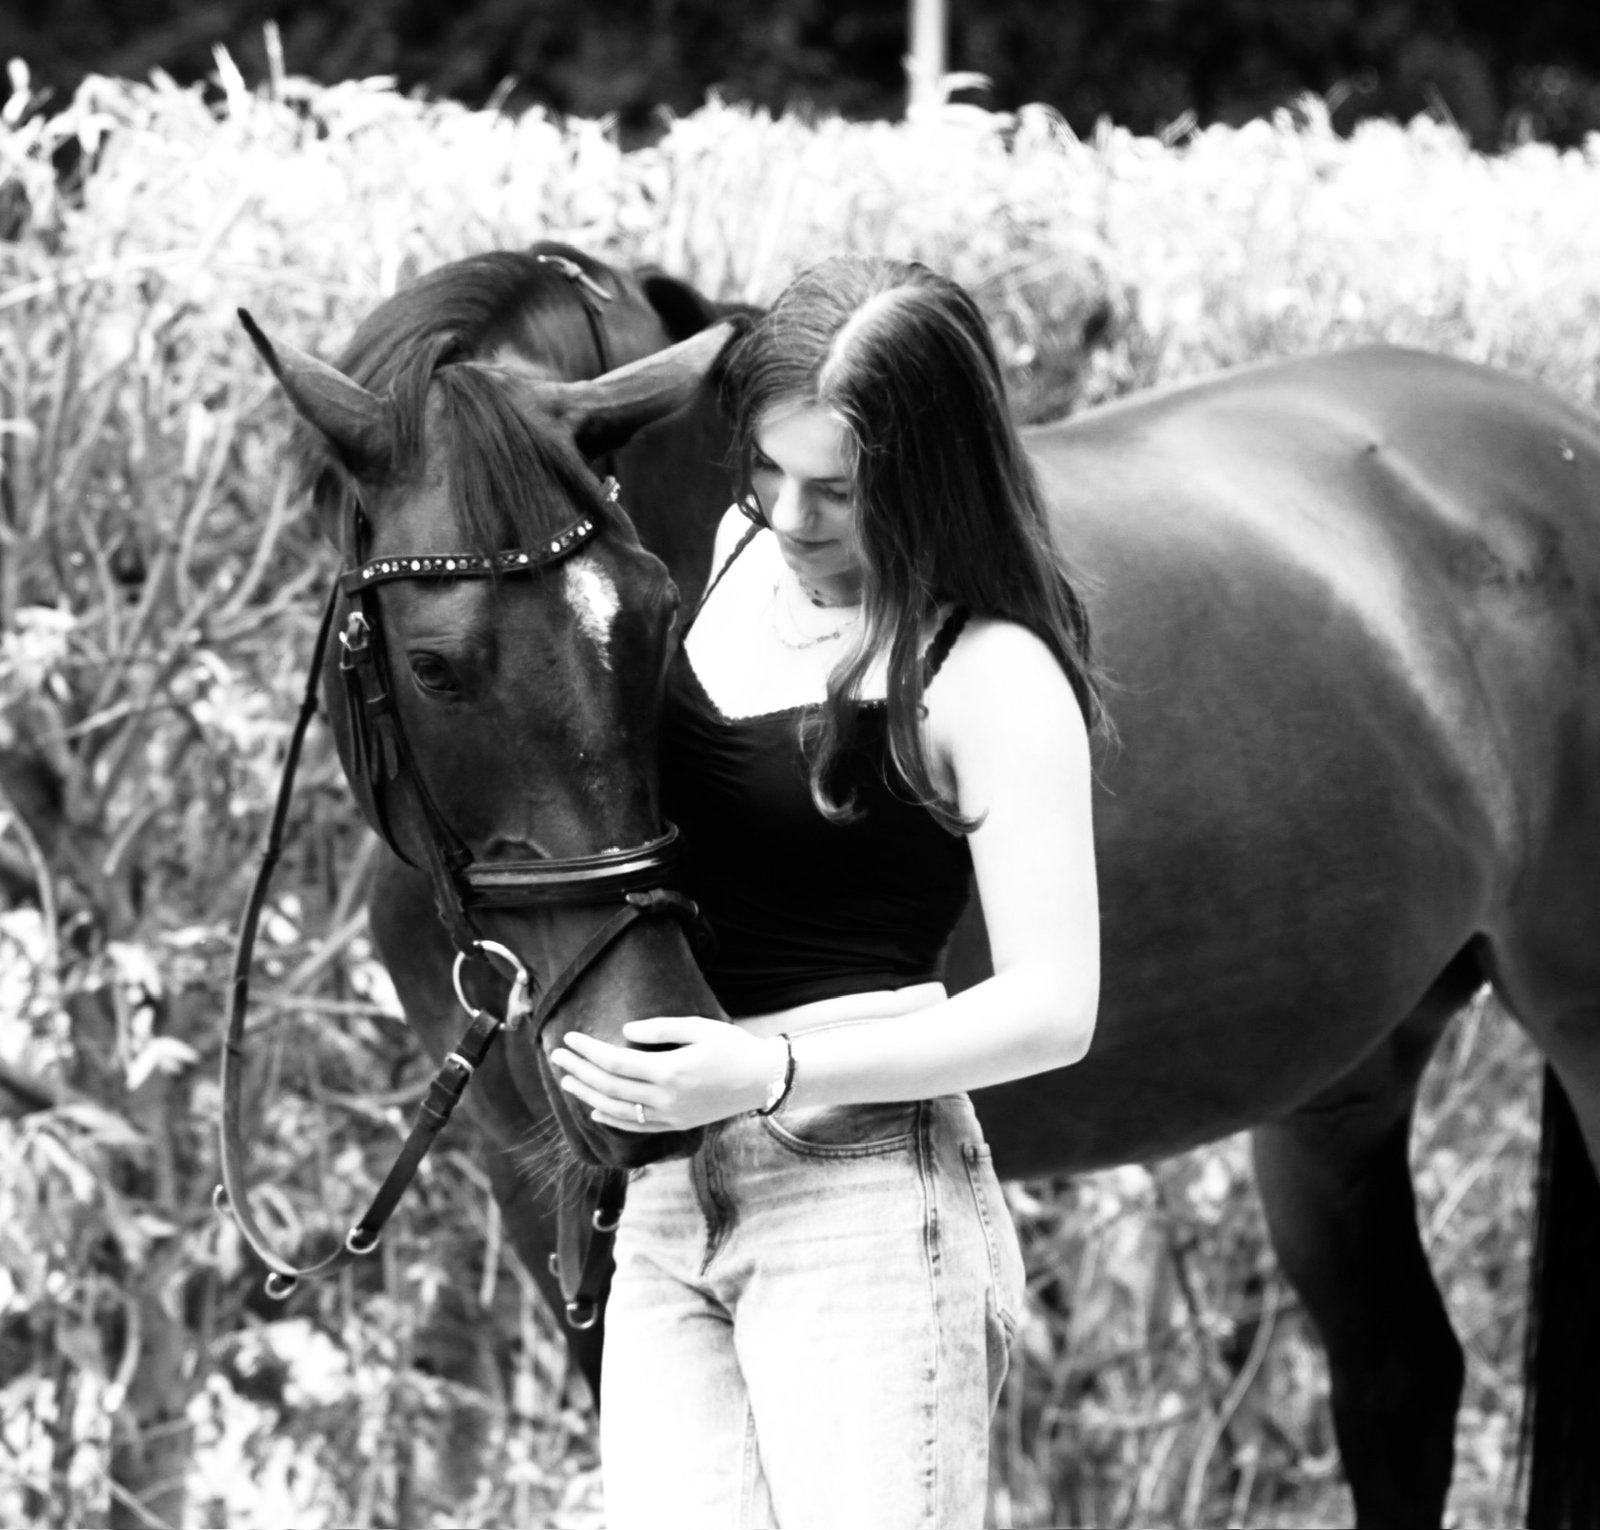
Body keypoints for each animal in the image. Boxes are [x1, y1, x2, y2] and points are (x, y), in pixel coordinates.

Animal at [241, 242, 1600, 1530]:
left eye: (656, 618)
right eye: (433, 664)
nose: (643, 1037)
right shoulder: (541, 1193)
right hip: (1343, 1091)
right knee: (1399, 1377)